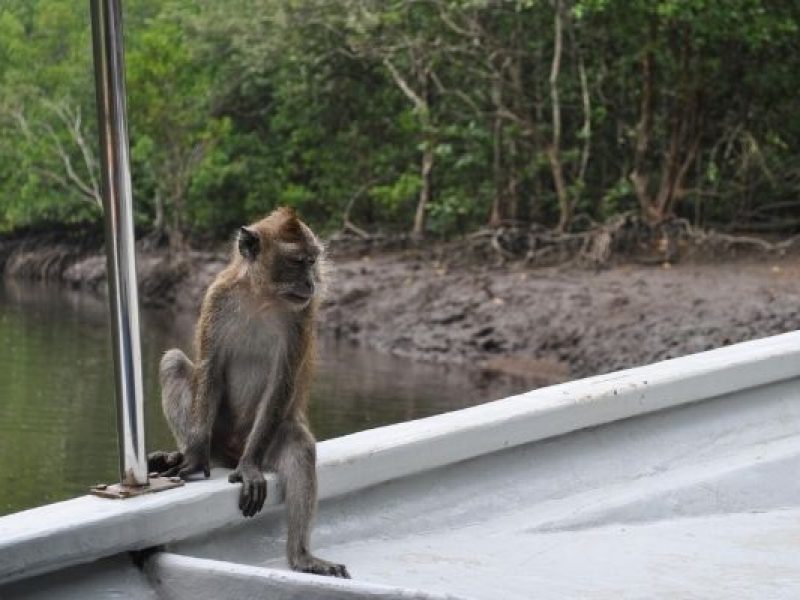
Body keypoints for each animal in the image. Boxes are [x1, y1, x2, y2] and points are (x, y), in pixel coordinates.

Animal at [148, 209, 348, 580]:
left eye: (313, 261)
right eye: (298, 262)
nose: (311, 283)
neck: (262, 297)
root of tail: (228, 453)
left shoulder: (302, 316)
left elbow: (282, 382)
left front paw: (251, 468)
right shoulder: (217, 298)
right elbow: (210, 368)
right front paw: (193, 459)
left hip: (268, 438)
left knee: (299, 447)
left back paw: (301, 556)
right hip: (218, 438)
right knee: (173, 363)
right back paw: (188, 454)